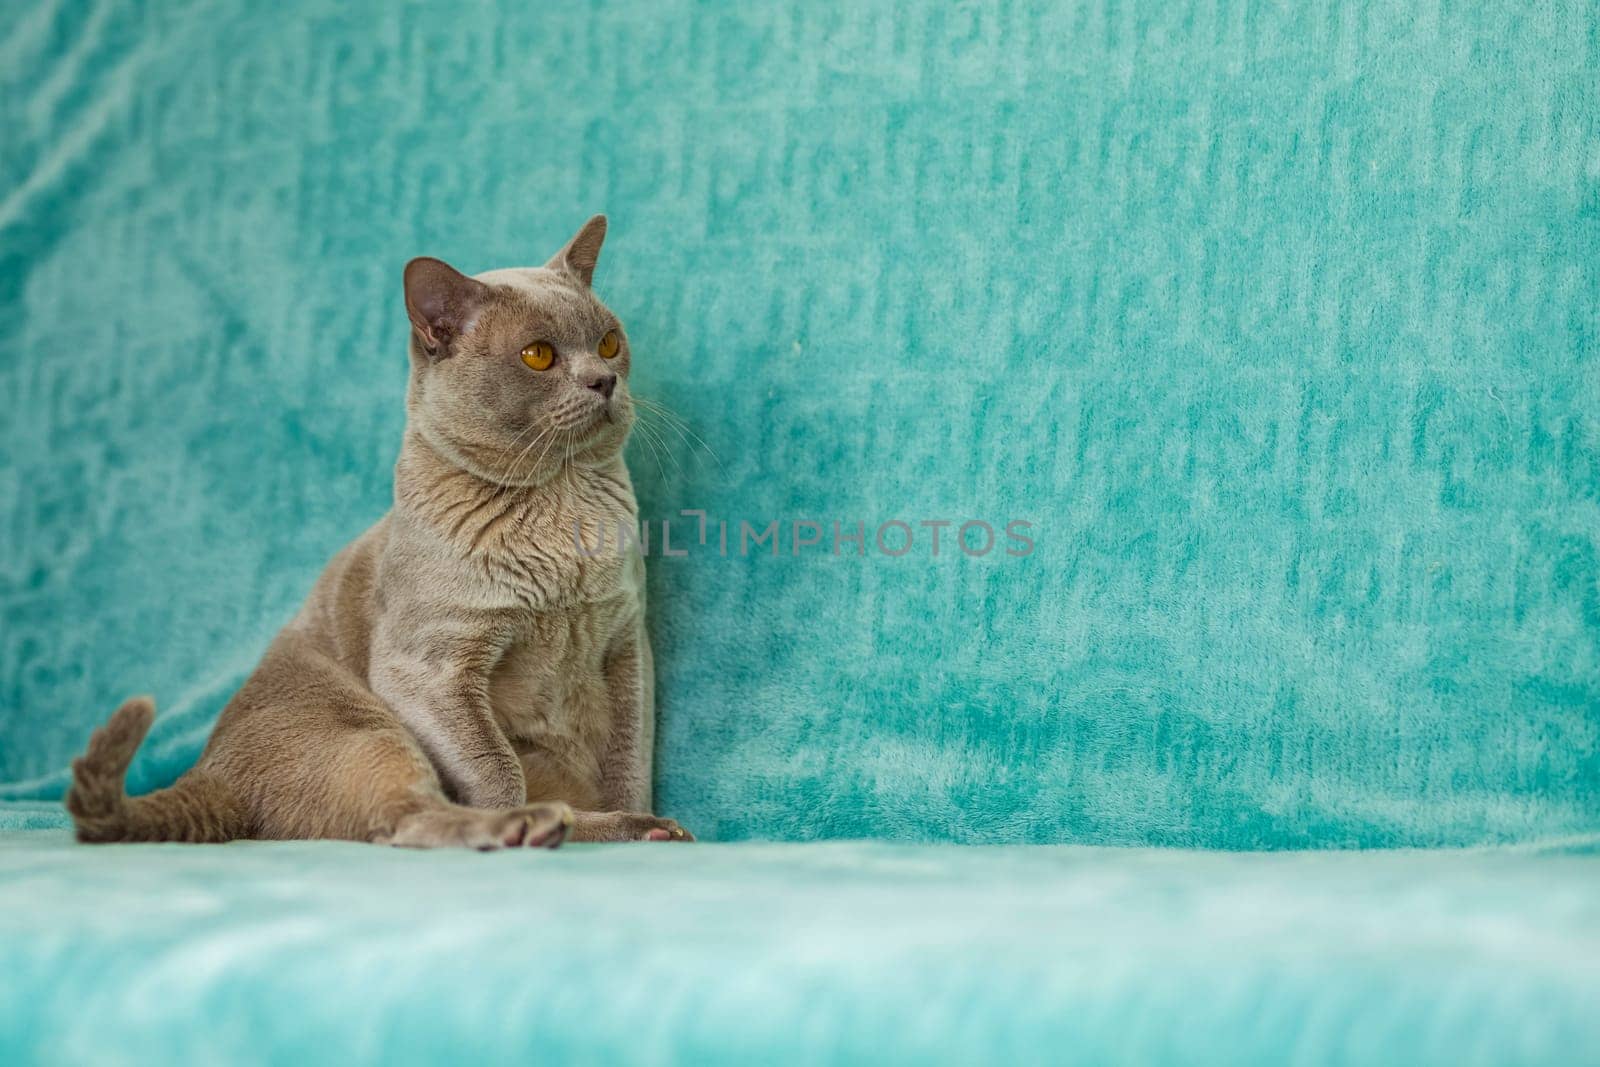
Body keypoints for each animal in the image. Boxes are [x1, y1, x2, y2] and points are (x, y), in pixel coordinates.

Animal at [65, 214, 691, 851]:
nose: (604, 380)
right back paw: (536, 826)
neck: (563, 507)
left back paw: (642, 828)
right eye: (538, 355)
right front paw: (522, 820)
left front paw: (636, 814)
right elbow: (495, 769)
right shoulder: (429, 671)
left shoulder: (626, 645)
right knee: (407, 818)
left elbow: (628, 761)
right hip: (366, 724)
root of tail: (208, 768)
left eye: (609, 342)